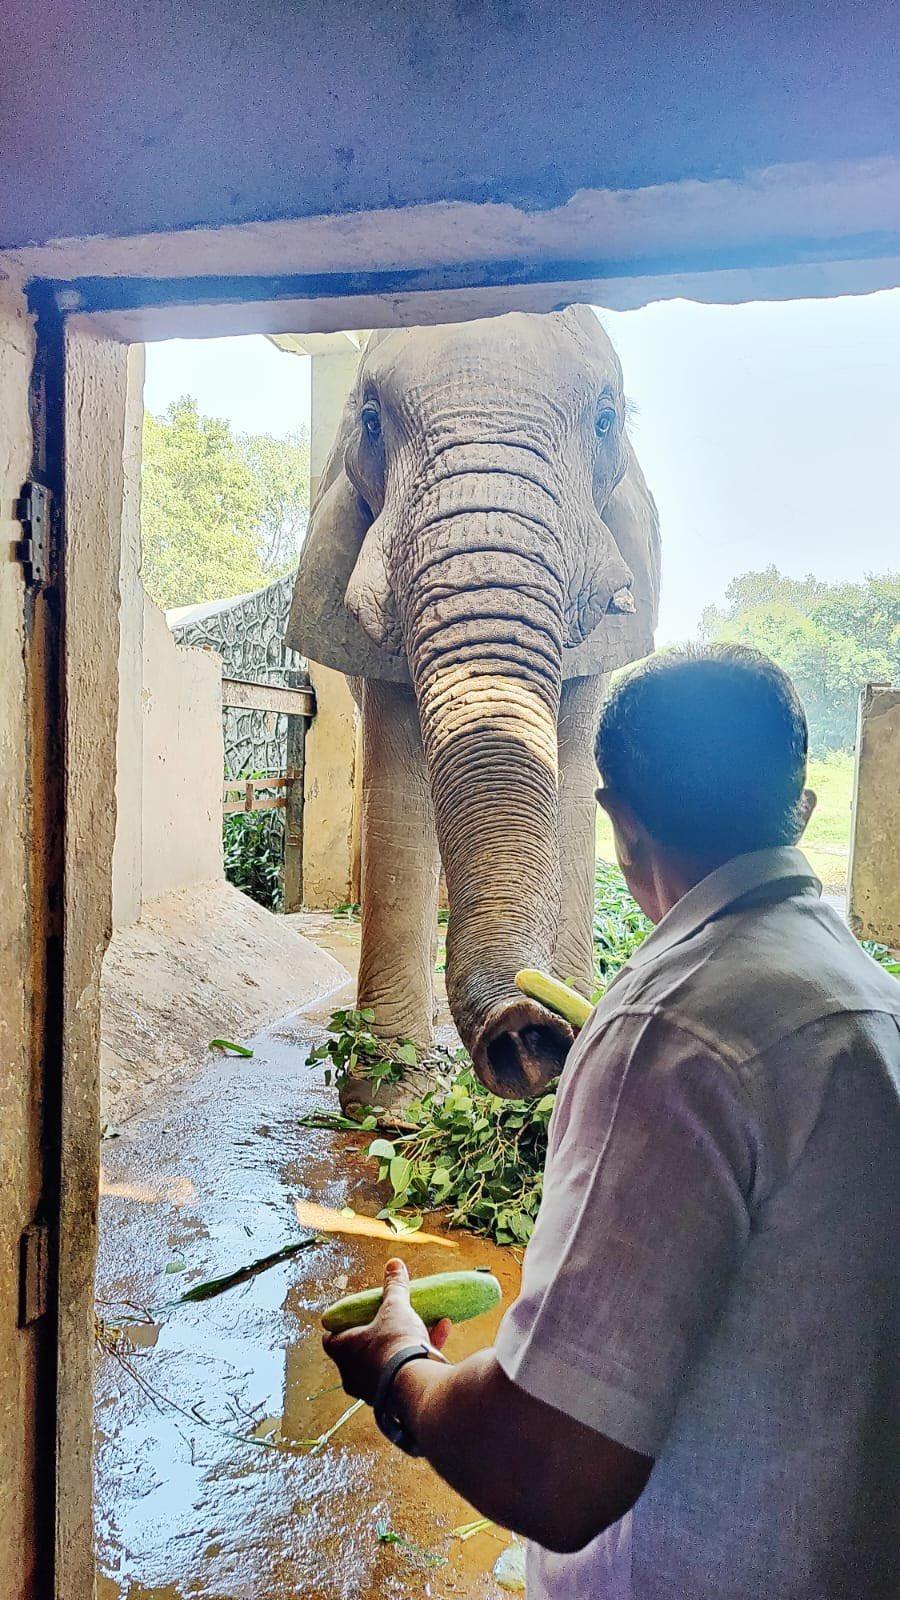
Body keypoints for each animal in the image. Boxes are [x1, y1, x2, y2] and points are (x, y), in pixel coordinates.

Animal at [287, 306, 660, 1103]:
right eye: (371, 418)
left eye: (606, 419)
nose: (523, 1032)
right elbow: (399, 794)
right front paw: (389, 1101)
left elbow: (572, 784)